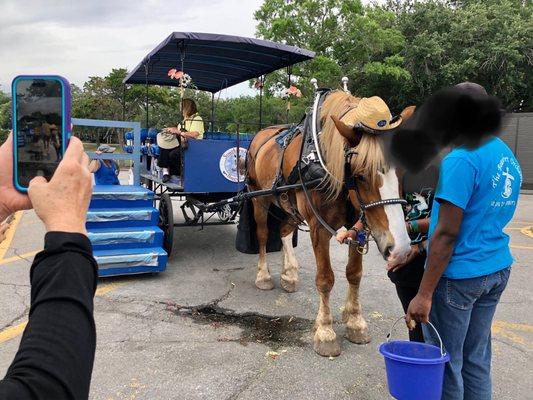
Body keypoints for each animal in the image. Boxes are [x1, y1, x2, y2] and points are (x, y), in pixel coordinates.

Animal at [247, 90, 414, 356]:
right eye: (360, 175)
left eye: (402, 173)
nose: (399, 248)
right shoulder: (318, 227)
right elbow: (325, 278)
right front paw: (325, 331)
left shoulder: (361, 228)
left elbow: (354, 273)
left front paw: (355, 321)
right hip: (259, 199)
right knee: (263, 234)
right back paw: (264, 276)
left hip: (289, 206)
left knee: (284, 231)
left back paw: (289, 273)